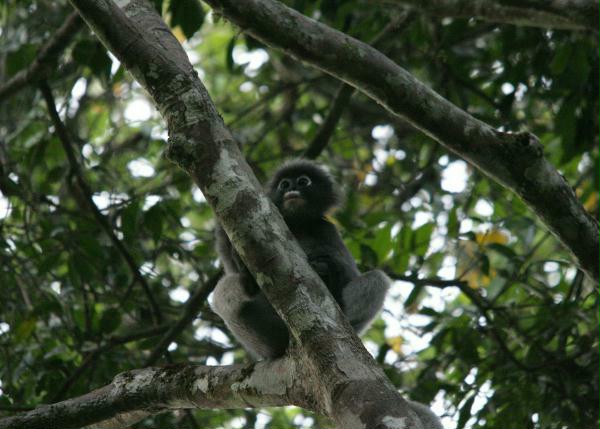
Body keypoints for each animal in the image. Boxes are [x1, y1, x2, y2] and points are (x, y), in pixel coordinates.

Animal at [211, 159, 390, 360]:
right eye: (284, 184)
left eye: (303, 181)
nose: (292, 189)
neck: (296, 223)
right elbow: (230, 263)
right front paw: (241, 264)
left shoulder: (326, 228)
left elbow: (349, 275)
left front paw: (328, 267)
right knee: (227, 287)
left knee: (377, 278)